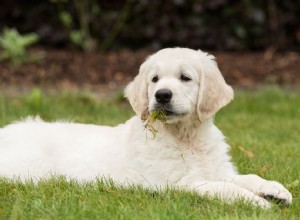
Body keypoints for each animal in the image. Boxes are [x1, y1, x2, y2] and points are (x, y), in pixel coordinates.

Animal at [0, 47, 292, 208]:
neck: (186, 137)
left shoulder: (217, 169)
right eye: (154, 79)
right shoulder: (179, 183)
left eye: (185, 77)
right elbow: (224, 188)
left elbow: (246, 178)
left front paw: (276, 190)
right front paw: (257, 202)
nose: (162, 95)